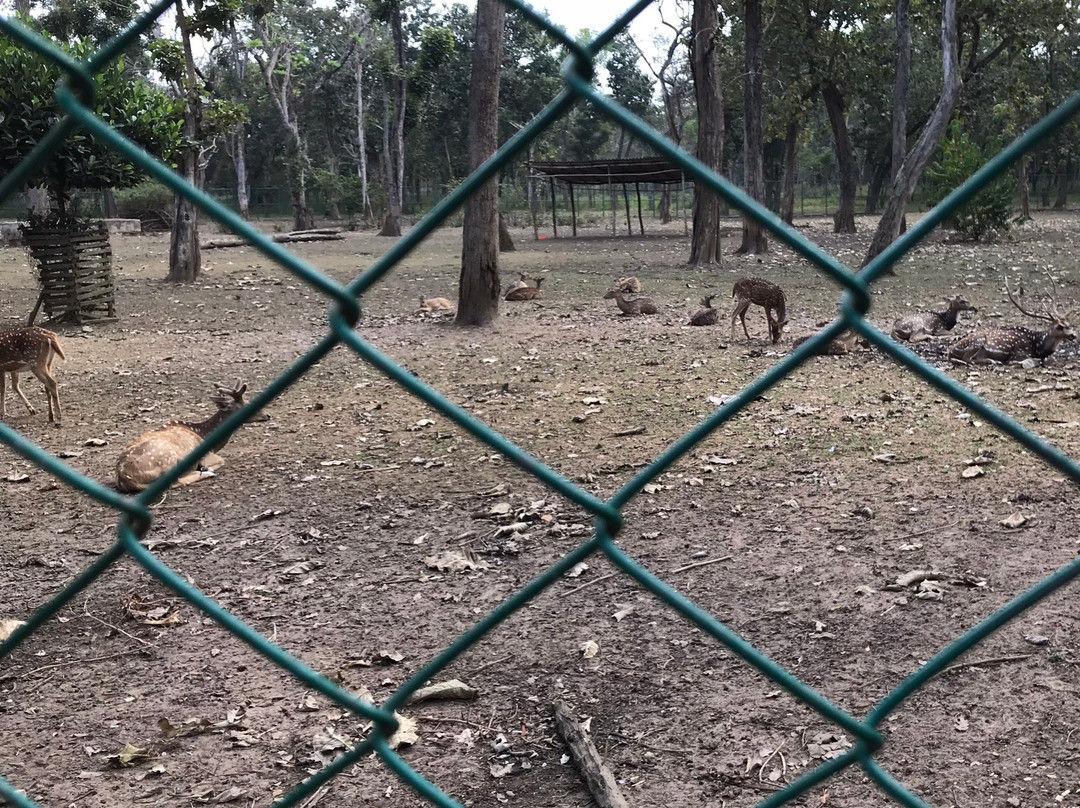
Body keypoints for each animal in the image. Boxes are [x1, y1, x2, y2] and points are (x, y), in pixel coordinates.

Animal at [115, 384, 265, 492]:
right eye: (246, 405)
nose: (267, 415)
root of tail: (124, 477)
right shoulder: (206, 455)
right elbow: (221, 461)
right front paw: (207, 469)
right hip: (167, 459)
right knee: (174, 482)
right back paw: (206, 473)